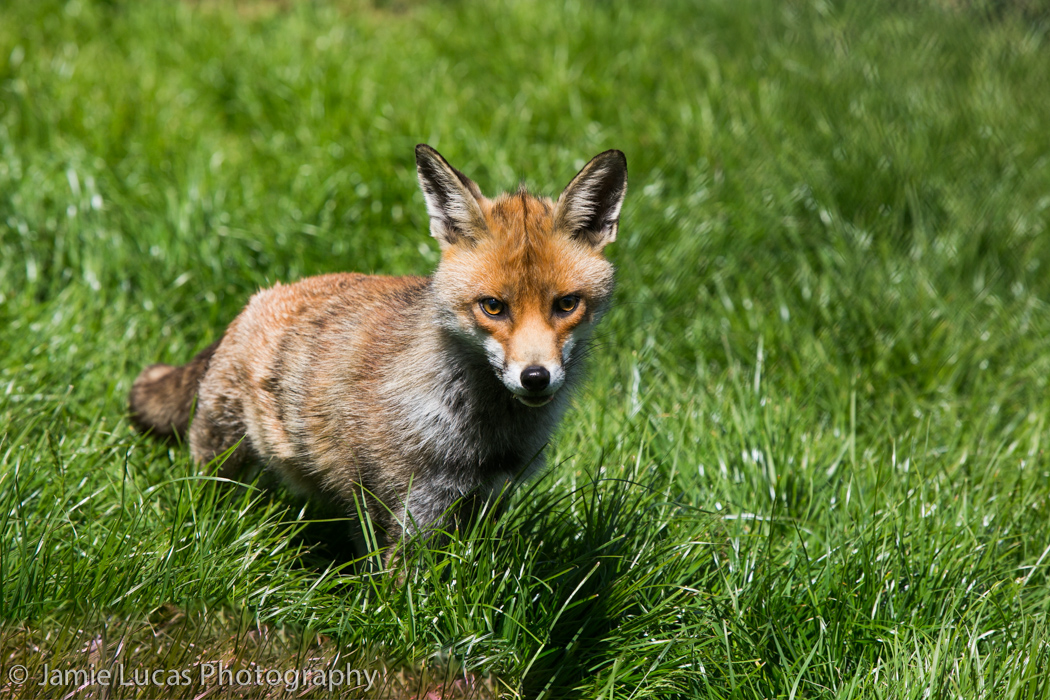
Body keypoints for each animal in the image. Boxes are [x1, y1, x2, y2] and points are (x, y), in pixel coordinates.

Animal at [129, 144, 628, 557]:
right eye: (493, 307)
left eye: (566, 305)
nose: (535, 377)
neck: (484, 436)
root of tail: (260, 296)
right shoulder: (396, 502)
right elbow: (398, 588)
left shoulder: (488, 496)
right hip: (222, 454)